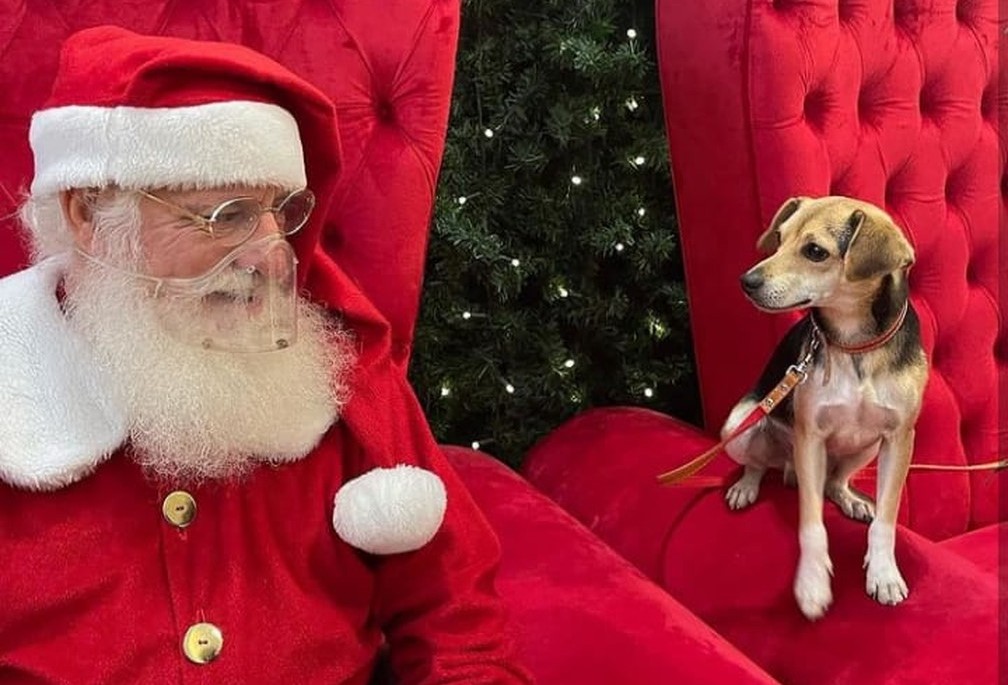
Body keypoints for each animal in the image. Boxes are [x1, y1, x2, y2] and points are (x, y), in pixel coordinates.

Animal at [721, 194, 923, 620]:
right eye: (779, 238)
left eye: (815, 251)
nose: (746, 282)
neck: (854, 343)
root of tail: (785, 469)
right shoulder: (809, 437)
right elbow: (812, 524)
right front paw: (812, 584)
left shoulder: (899, 438)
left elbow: (887, 518)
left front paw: (883, 574)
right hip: (740, 425)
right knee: (758, 463)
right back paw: (746, 486)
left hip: (865, 447)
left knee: (834, 481)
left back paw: (851, 499)